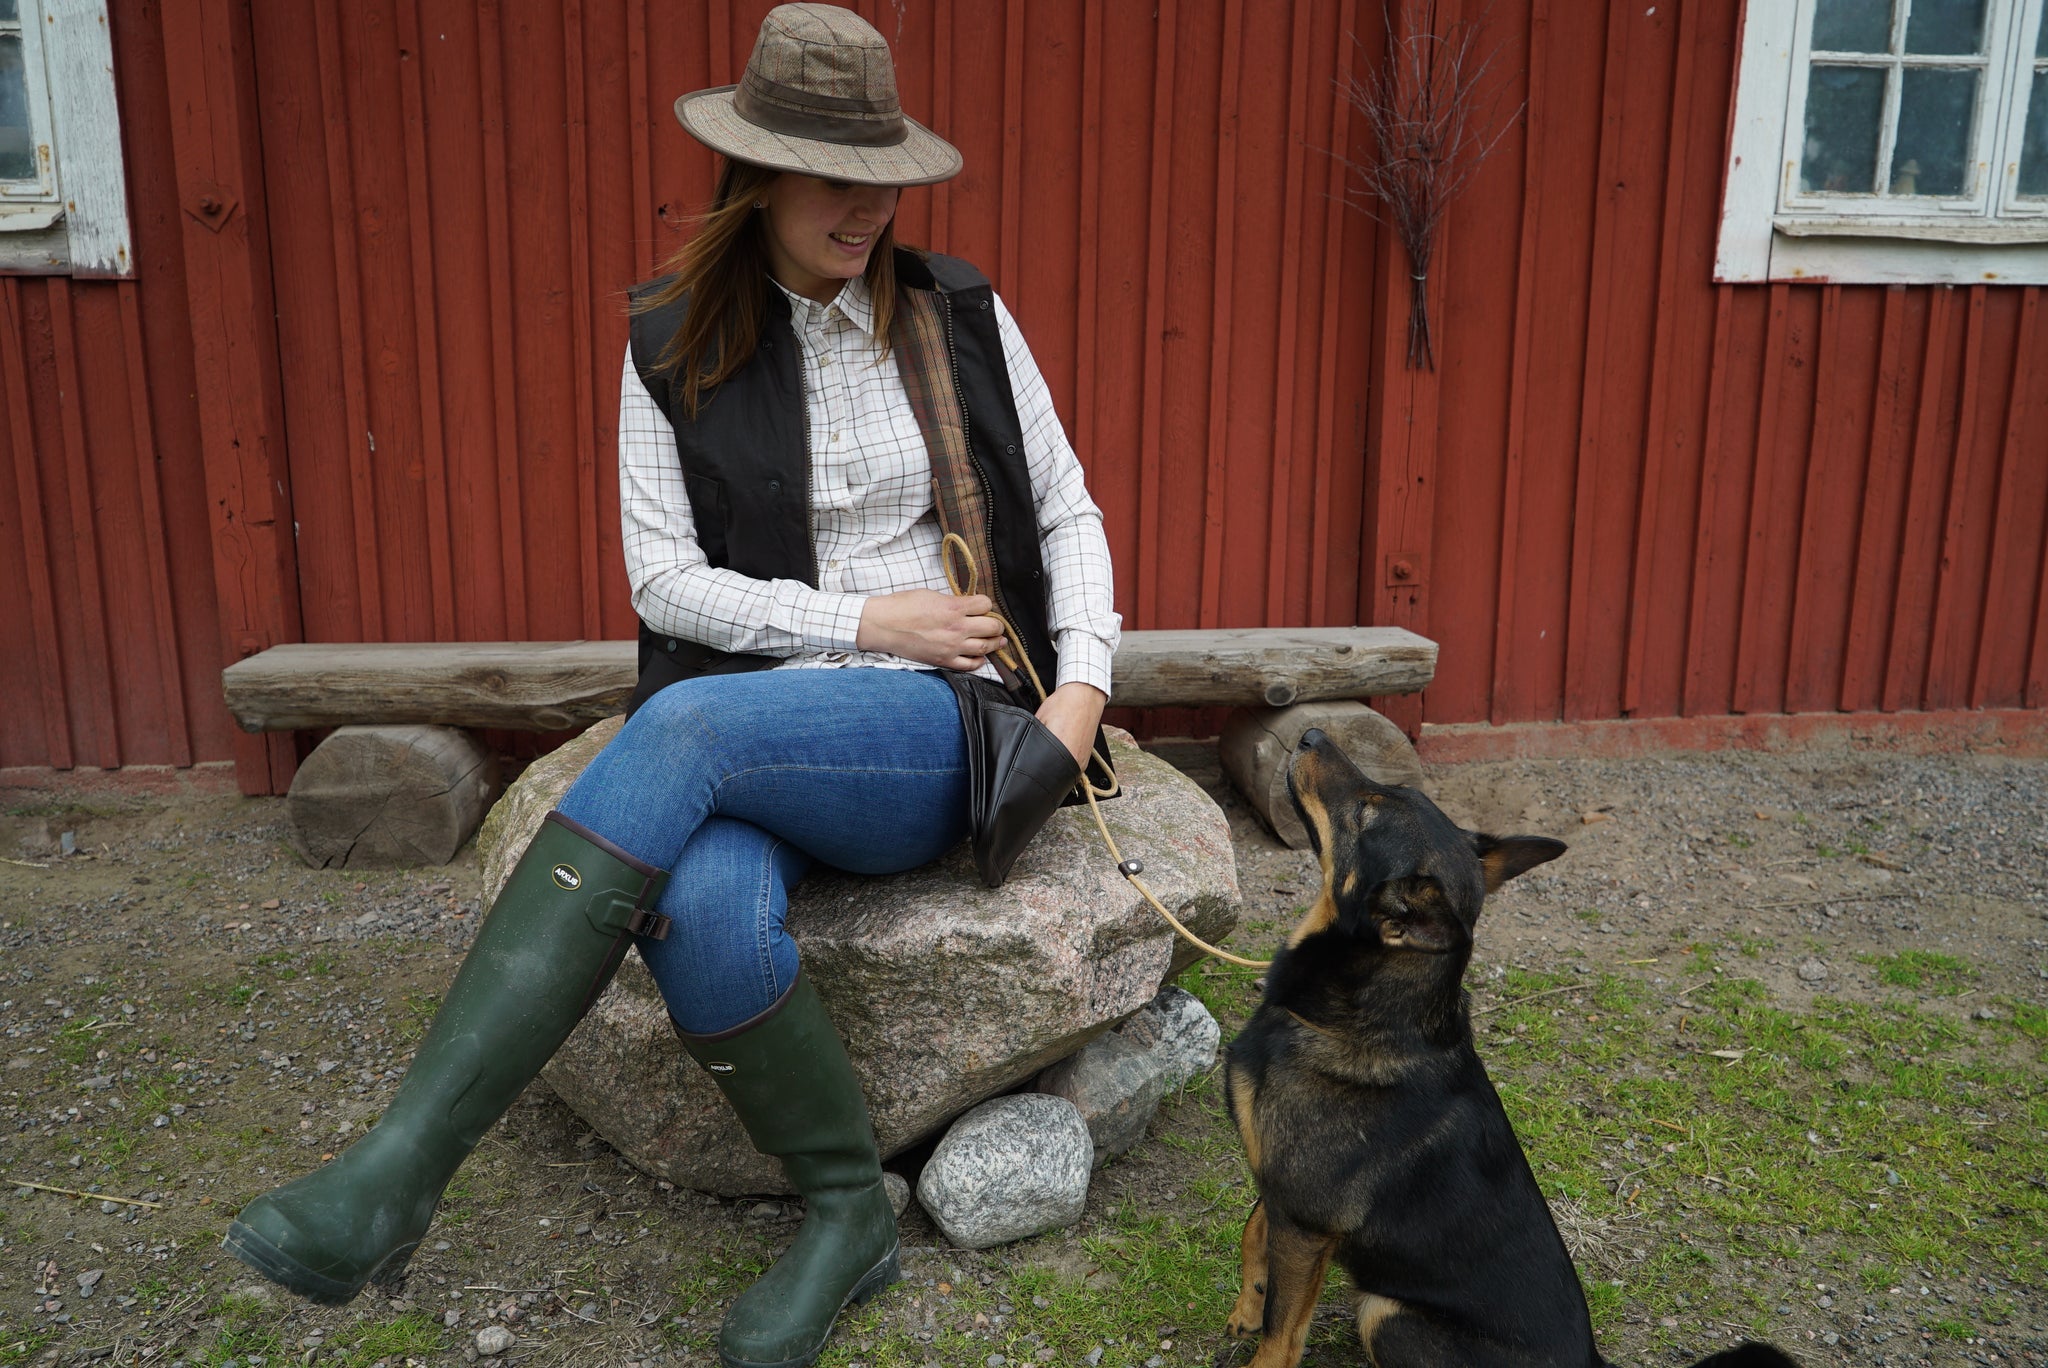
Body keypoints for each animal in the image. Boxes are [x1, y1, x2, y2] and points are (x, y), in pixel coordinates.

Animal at [1220, 730, 1796, 1368]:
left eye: (1366, 813)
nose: (1310, 735)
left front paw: (1260, 1330)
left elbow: (1281, 1335)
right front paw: (1246, 1307)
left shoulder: (1305, 1222)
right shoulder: (1281, 1199)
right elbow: (1253, 1233)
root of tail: (1592, 1361)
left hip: (1385, 1313)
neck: (1360, 1019)